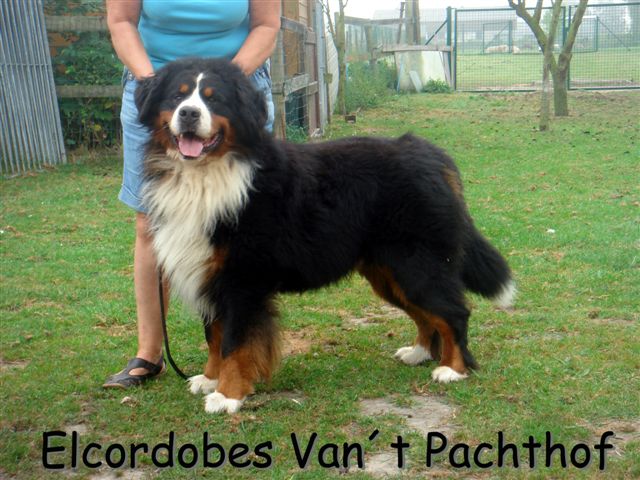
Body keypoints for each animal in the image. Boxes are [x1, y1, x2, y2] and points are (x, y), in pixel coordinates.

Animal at [134, 58, 515, 414]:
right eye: (178, 96)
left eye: (215, 100)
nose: (188, 113)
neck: (206, 175)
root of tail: (431, 154)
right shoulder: (209, 274)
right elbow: (214, 335)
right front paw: (210, 378)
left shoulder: (241, 281)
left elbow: (234, 341)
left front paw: (228, 394)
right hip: (390, 272)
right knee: (426, 314)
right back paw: (419, 352)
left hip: (417, 264)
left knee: (453, 312)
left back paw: (453, 369)